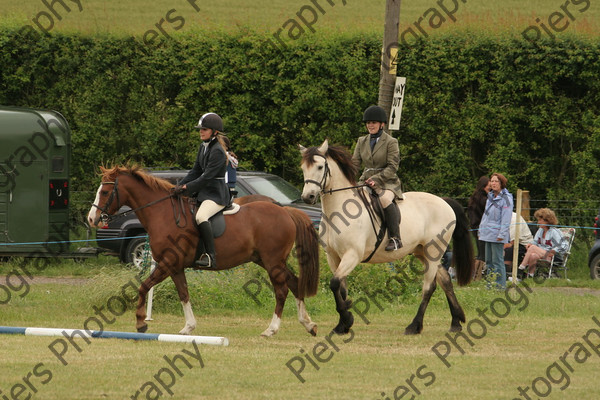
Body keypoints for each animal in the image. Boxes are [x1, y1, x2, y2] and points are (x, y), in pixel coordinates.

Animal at [87, 166, 322, 338]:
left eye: (105, 192)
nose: (91, 218)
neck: (163, 214)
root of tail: (285, 210)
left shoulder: (167, 263)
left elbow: (144, 287)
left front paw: (140, 323)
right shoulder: (175, 267)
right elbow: (183, 293)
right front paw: (188, 327)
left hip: (273, 261)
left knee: (282, 291)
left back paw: (271, 330)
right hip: (266, 260)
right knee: (294, 283)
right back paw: (308, 324)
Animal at [300, 141, 474, 334]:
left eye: (320, 166)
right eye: (303, 168)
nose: (307, 197)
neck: (337, 211)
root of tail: (444, 201)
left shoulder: (352, 255)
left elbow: (334, 283)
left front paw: (346, 318)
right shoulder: (333, 257)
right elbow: (341, 289)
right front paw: (343, 324)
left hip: (434, 250)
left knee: (429, 287)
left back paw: (414, 326)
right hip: (421, 252)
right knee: (445, 281)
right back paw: (456, 322)